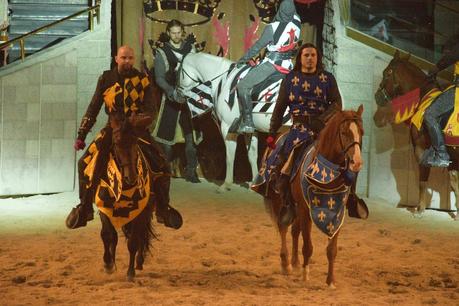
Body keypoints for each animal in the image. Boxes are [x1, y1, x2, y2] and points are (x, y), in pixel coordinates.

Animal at [178, 52, 290, 191]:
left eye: (179, 70)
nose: (176, 94)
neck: (223, 81)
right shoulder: (250, 131)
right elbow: (252, 155)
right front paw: (253, 183)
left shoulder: (228, 128)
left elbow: (230, 156)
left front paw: (226, 184)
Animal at [264, 106, 364, 288]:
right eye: (344, 132)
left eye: (361, 132)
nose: (357, 162)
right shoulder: (305, 210)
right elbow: (308, 246)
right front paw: (305, 275)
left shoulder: (338, 213)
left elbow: (332, 250)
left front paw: (330, 281)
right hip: (280, 201)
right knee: (283, 227)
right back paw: (286, 264)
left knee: (294, 230)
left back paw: (295, 263)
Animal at [374, 50, 459, 218]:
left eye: (387, 72)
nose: (377, 97)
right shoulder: (453, 158)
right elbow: (455, 184)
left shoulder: (420, 150)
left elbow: (422, 181)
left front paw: (419, 210)